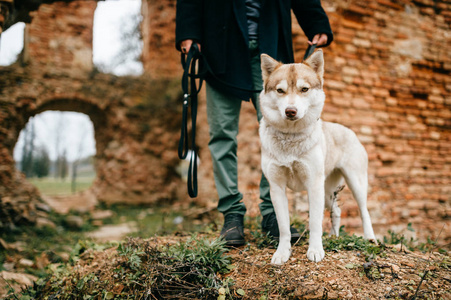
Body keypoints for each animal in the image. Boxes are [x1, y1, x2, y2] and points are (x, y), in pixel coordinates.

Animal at [260, 50, 376, 264]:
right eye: (280, 91)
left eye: (304, 89)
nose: (290, 111)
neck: (290, 138)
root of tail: (349, 130)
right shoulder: (277, 187)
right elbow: (283, 227)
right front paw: (282, 253)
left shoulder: (313, 185)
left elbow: (315, 223)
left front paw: (315, 250)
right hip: (327, 191)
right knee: (337, 211)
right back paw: (334, 237)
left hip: (354, 184)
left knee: (364, 212)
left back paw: (370, 238)